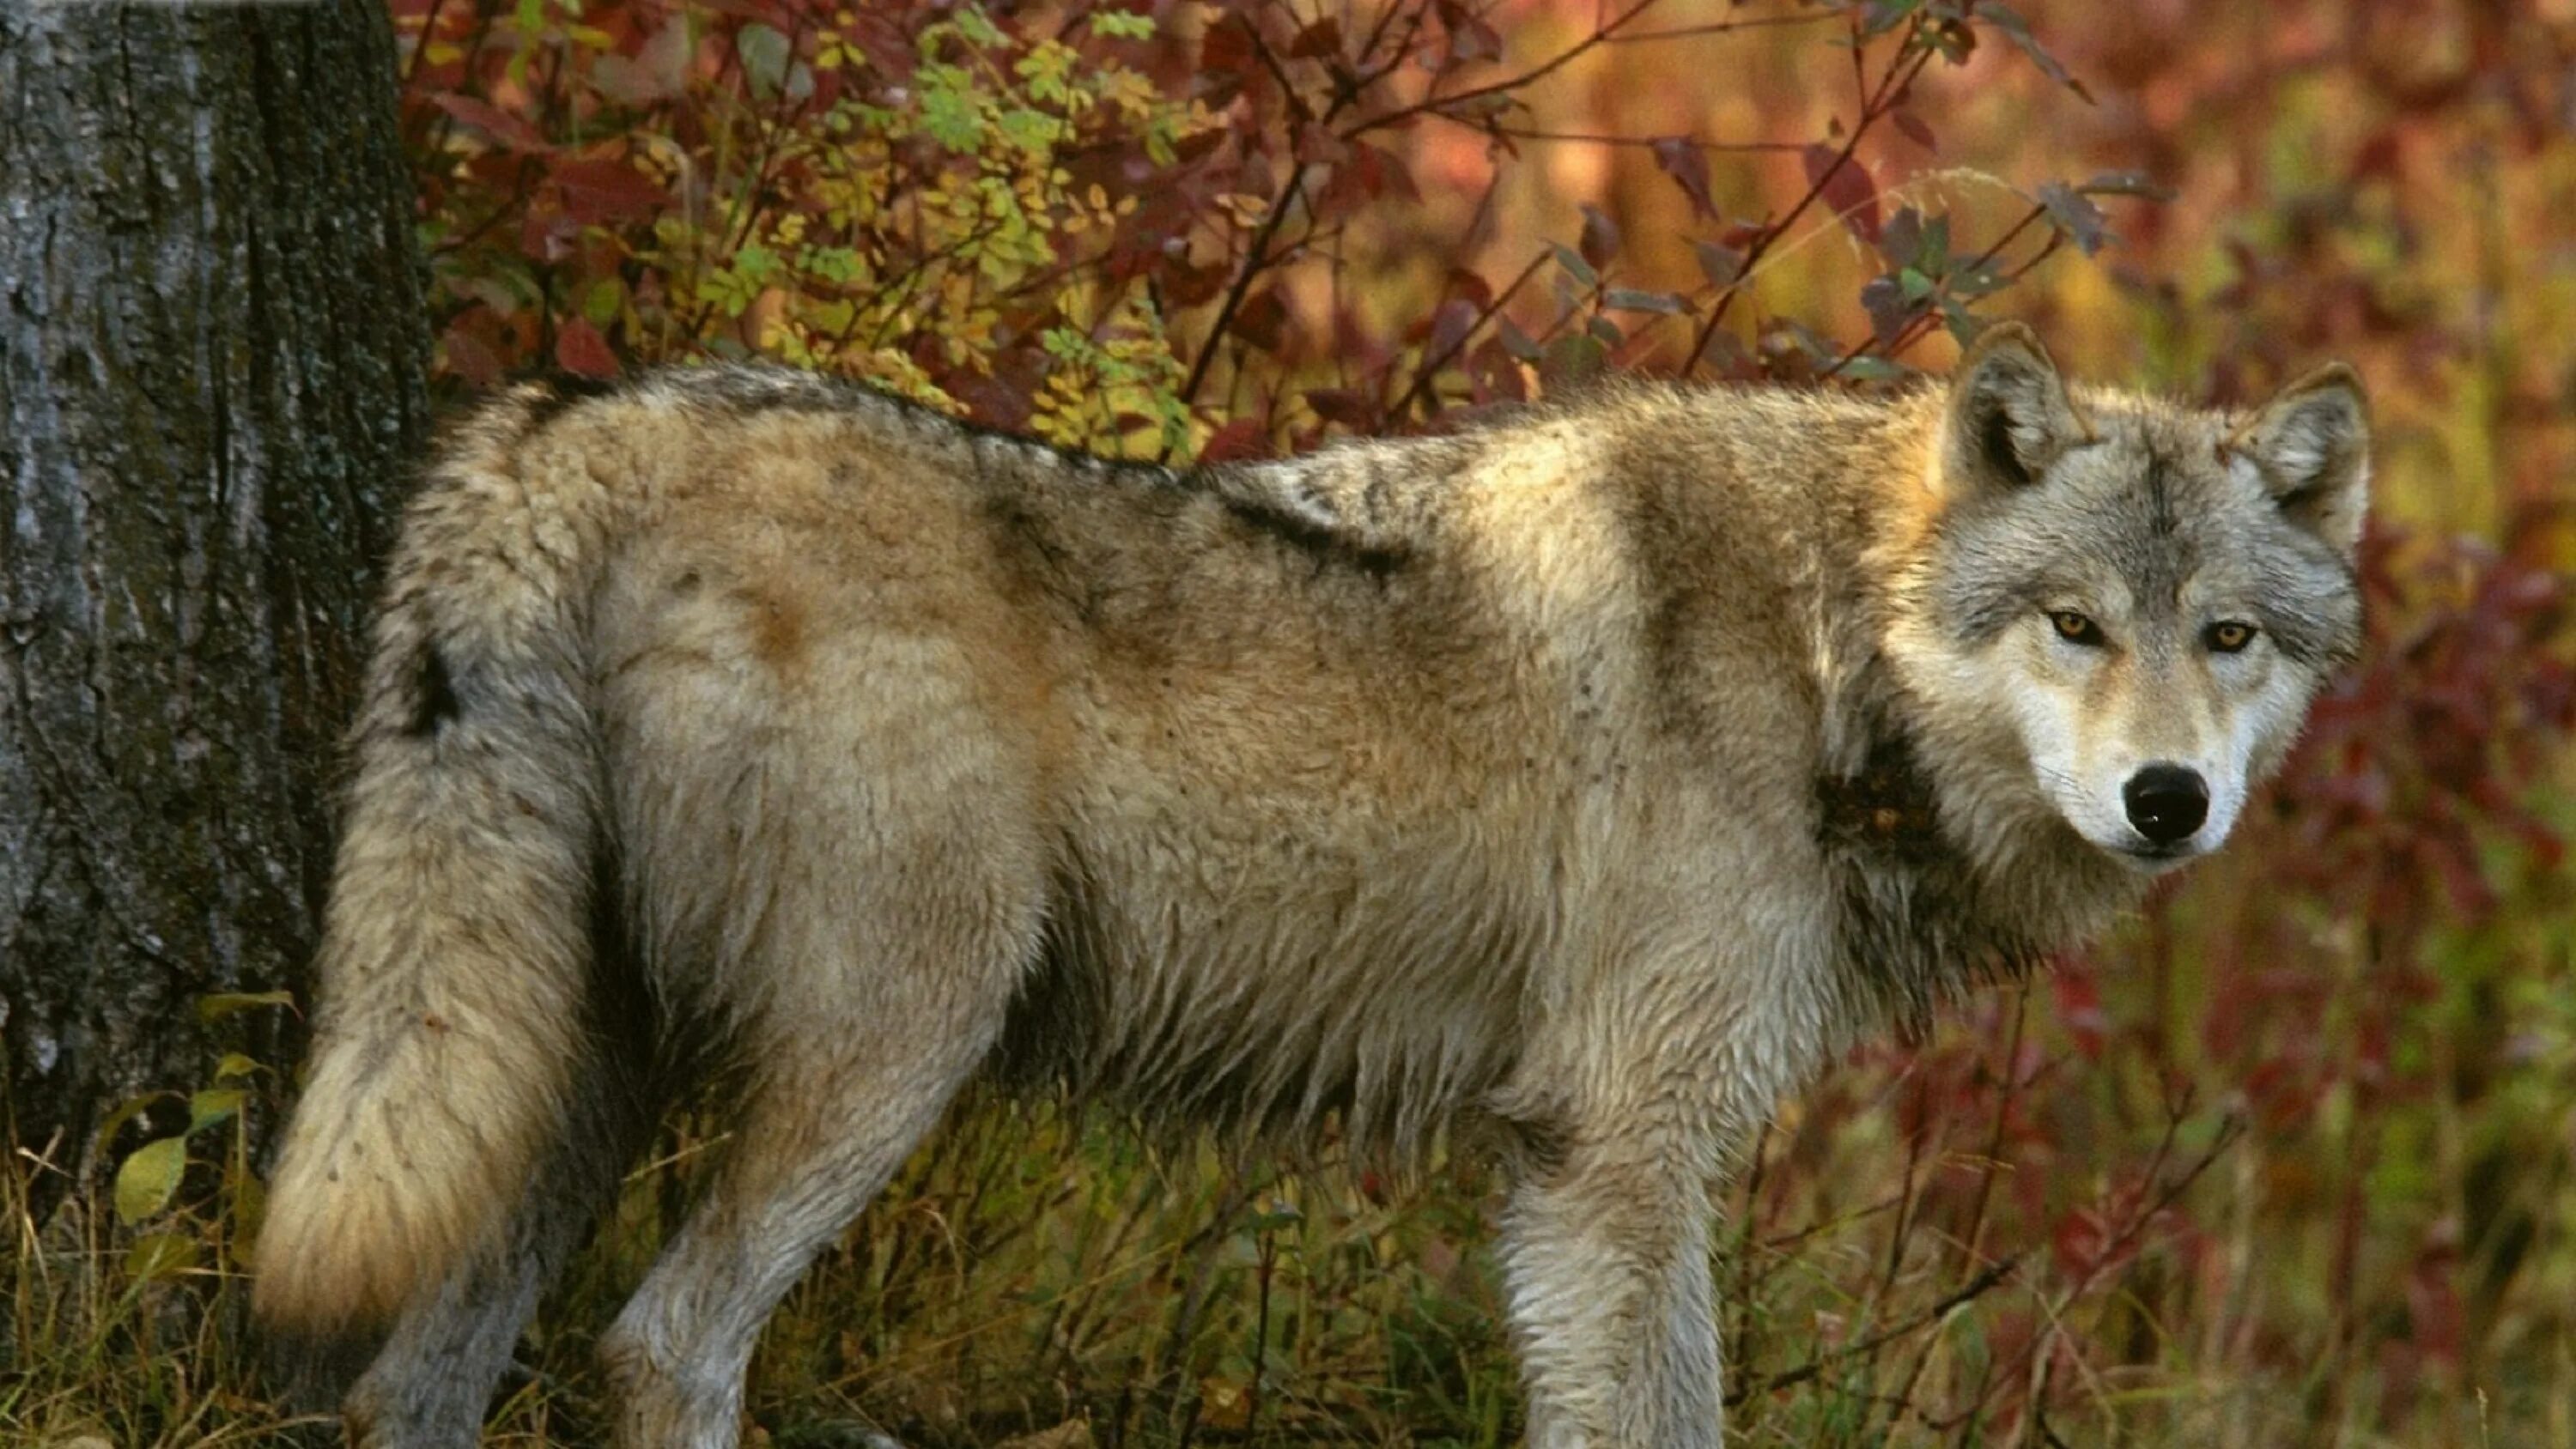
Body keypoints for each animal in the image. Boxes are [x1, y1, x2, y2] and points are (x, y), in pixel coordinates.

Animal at [251, 323, 2360, 1441]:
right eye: (2076, 624)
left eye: (2229, 637)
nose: (2168, 799)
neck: (1830, 644)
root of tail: (582, 415)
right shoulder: (1613, 1147)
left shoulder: (1603, 1160)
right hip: (886, 1054)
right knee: (664, 1342)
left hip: (572, 1079)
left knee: (410, 1382)